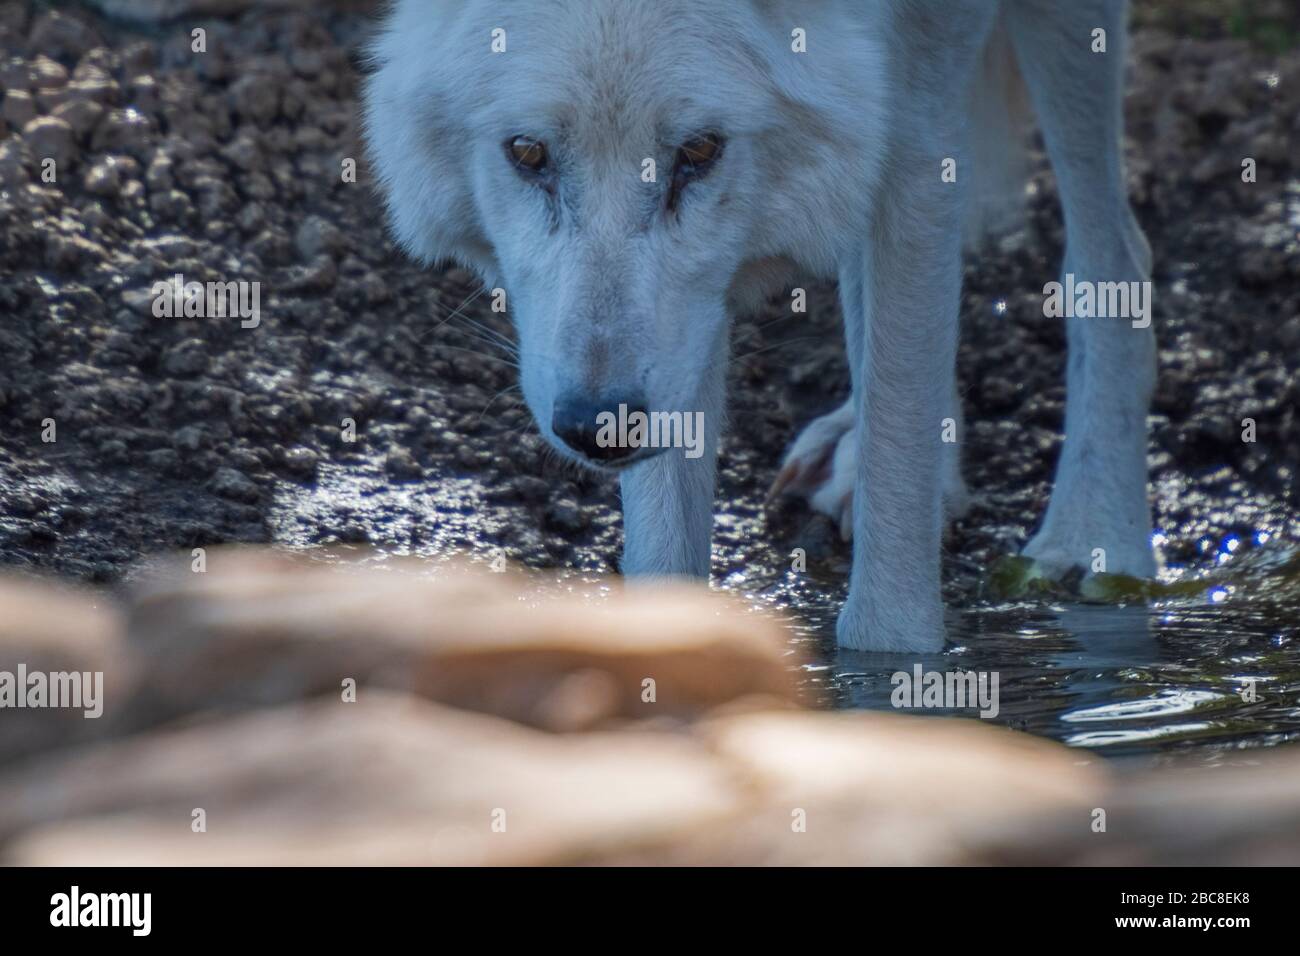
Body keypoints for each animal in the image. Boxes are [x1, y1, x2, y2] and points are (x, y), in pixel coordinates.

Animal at [363, 0, 1157, 652]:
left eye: (700, 152)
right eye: (528, 153)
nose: (597, 426)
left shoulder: (918, 105)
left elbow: (896, 513)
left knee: (1115, 250)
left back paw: (1095, 538)